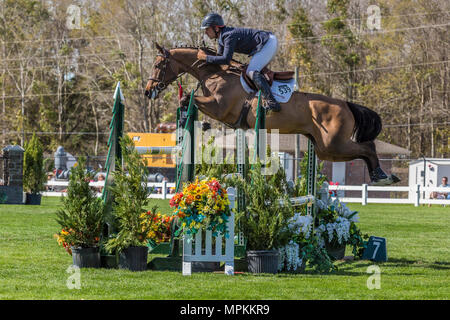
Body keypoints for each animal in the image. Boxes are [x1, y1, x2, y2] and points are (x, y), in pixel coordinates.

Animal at [145, 43, 400, 186]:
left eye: (158, 65)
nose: (148, 91)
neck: (214, 73)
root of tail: (346, 104)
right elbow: (187, 100)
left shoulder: (219, 107)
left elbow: (188, 99)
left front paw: (195, 123)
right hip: (324, 148)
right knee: (362, 150)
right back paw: (380, 176)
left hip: (333, 144)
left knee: (367, 148)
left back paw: (383, 177)